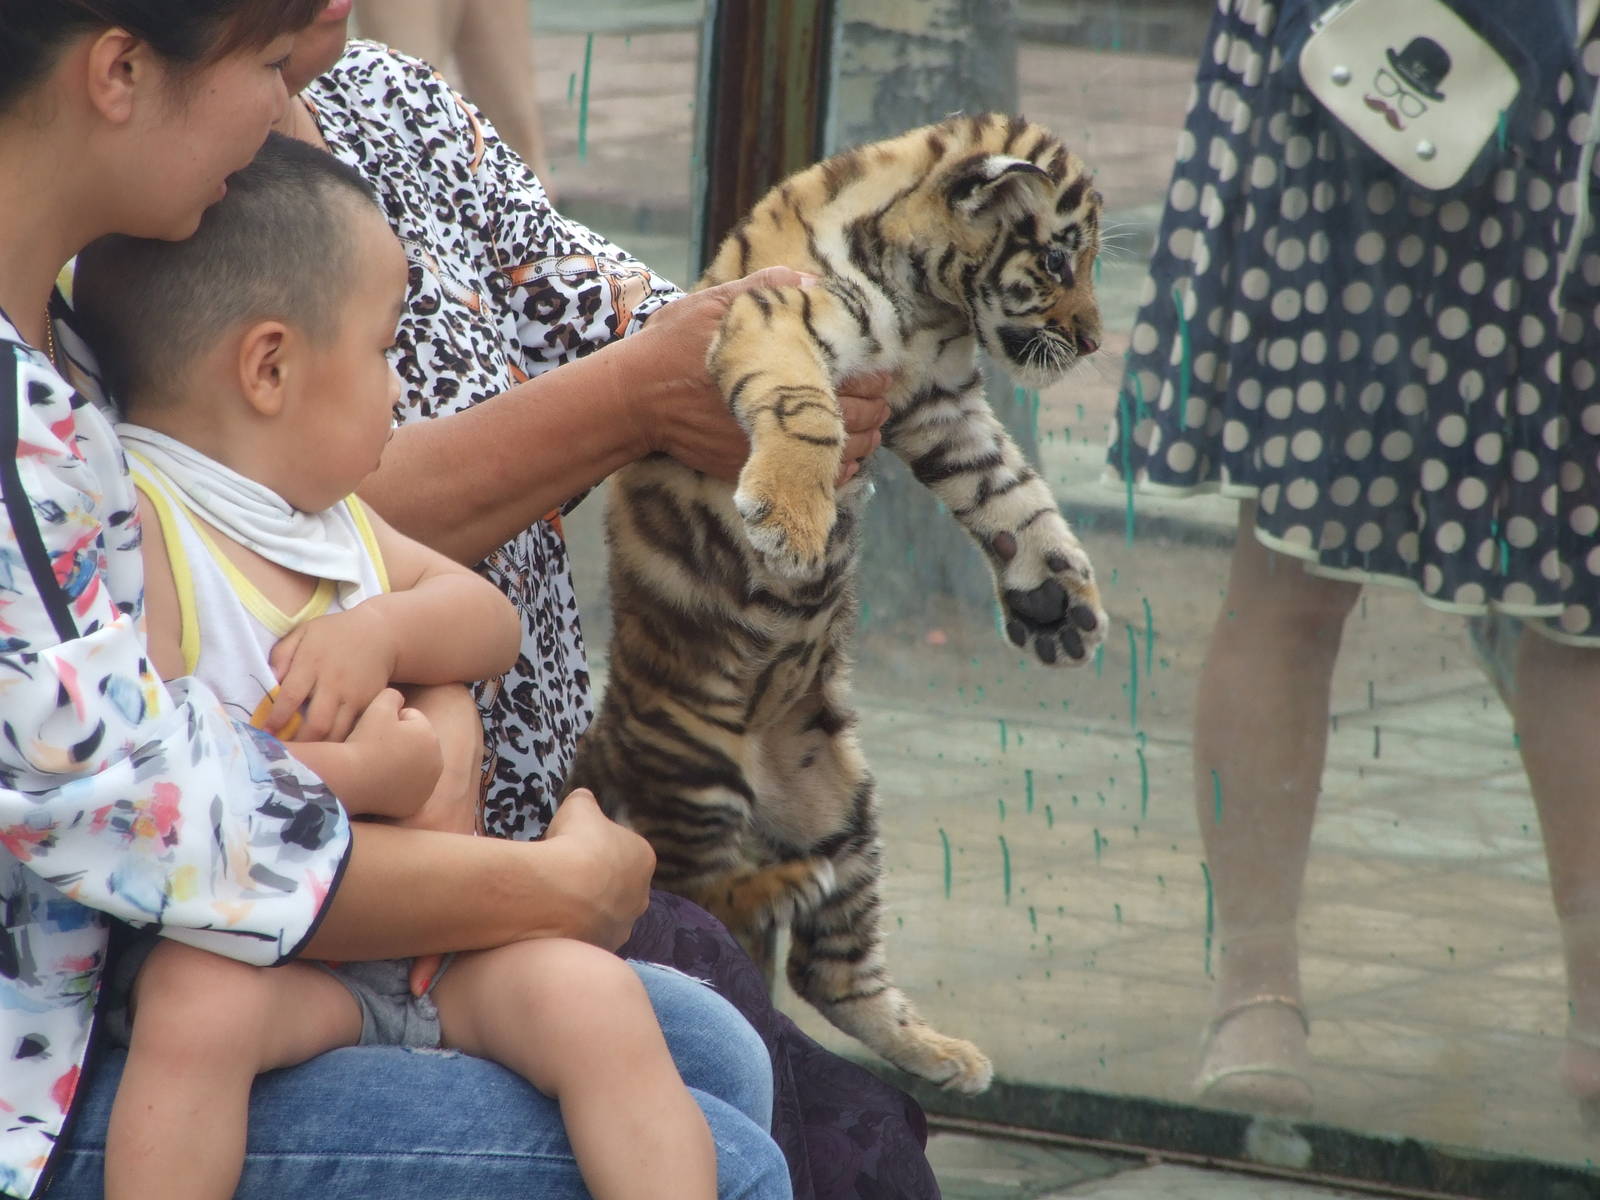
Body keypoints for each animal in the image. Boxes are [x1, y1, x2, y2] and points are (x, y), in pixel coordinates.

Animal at [566, 113, 1109, 1094]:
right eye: (1058, 263)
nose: (1091, 342)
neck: (931, 305)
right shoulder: (779, 319)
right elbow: (802, 409)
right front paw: (791, 518)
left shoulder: (940, 407)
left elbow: (1012, 496)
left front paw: (1057, 602)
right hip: (695, 763)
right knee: (679, 889)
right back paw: (780, 886)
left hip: (847, 805)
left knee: (828, 973)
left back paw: (941, 1052)